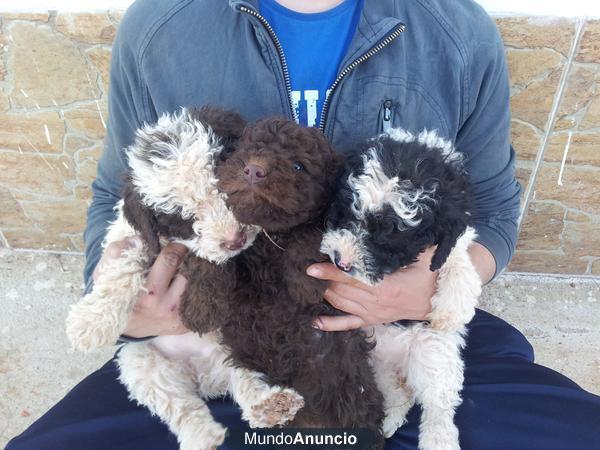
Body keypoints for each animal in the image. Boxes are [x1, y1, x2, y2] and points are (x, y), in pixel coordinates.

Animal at [67, 108, 304, 450]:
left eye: (226, 187)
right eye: (183, 218)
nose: (234, 240)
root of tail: (207, 377)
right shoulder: (136, 238)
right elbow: (124, 265)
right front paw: (89, 323)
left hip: (238, 341)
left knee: (244, 377)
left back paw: (268, 404)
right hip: (140, 362)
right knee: (179, 405)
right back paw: (203, 436)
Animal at [180, 118, 384, 444]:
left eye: (299, 166)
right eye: (246, 149)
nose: (253, 170)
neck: (269, 237)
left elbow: (310, 233)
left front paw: (306, 281)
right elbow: (208, 254)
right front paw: (200, 310)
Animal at [318, 129, 482, 450]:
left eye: (388, 237)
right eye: (345, 213)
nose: (341, 261)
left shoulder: (456, 234)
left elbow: (455, 257)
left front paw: (452, 309)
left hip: (432, 353)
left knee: (437, 402)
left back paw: (438, 438)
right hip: (374, 363)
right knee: (397, 392)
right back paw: (389, 418)